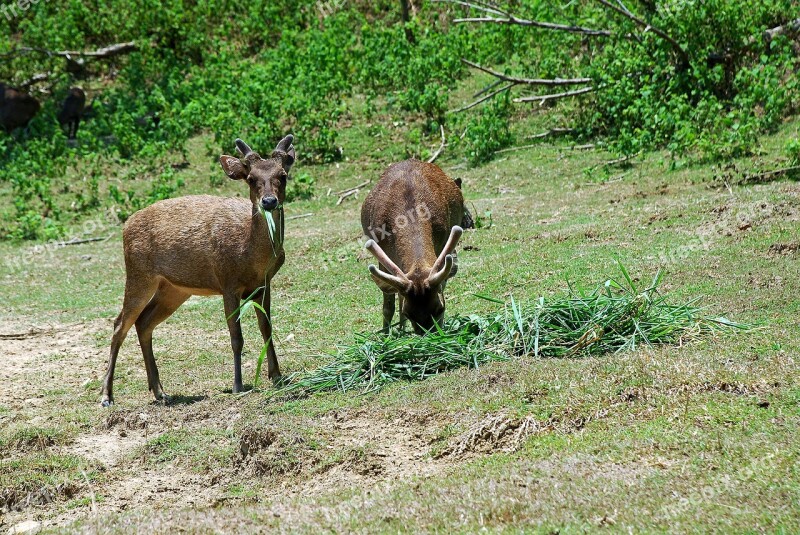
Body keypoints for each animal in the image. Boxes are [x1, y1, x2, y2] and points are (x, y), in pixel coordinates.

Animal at [101, 135, 296, 406]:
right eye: (251, 178)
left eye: (283, 175)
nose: (268, 201)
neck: (251, 256)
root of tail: (125, 226)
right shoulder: (227, 282)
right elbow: (236, 337)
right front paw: (237, 385)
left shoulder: (264, 284)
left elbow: (266, 328)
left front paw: (276, 376)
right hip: (138, 274)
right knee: (120, 324)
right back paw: (107, 395)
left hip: (173, 289)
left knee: (144, 322)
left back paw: (160, 391)